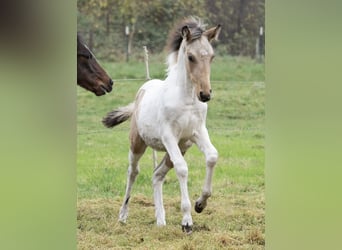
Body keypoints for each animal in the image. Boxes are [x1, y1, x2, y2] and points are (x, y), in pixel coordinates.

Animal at [103, 18, 220, 233]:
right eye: (190, 57)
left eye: (212, 56)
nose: (205, 94)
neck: (187, 99)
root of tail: (142, 92)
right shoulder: (169, 136)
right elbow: (182, 169)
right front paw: (187, 221)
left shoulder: (196, 133)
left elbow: (212, 157)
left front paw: (200, 204)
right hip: (138, 144)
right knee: (133, 172)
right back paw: (123, 215)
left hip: (180, 148)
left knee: (157, 175)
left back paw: (160, 220)